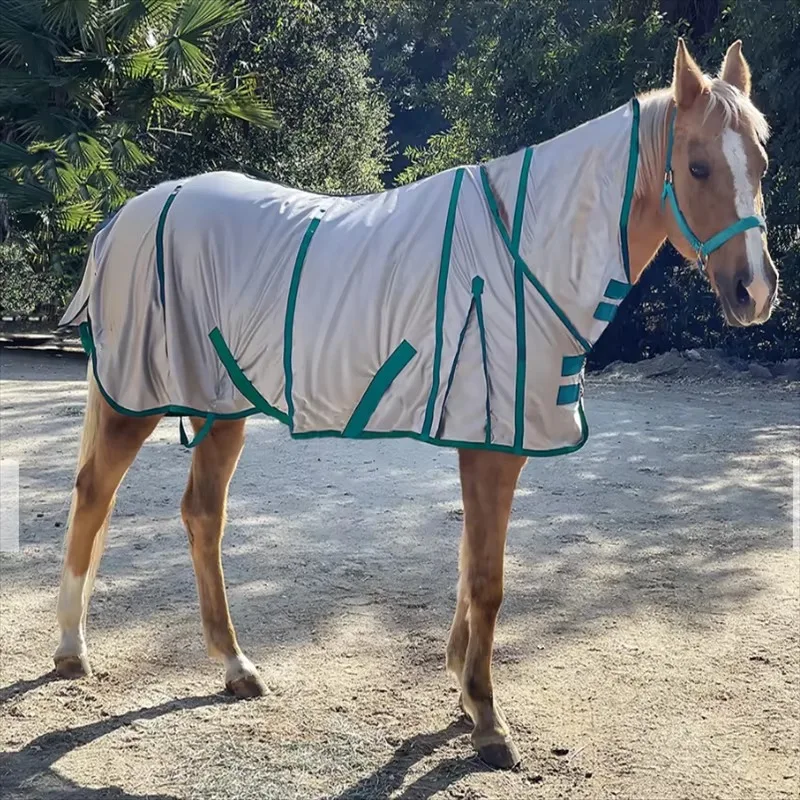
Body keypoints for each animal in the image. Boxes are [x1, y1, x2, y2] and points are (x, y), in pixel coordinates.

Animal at [52, 39, 778, 769]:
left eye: (763, 163)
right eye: (698, 165)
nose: (755, 292)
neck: (524, 249)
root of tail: (126, 215)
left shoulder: (491, 439)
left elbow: (467, 564)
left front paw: (461, 687)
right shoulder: (491, 445)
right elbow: (487, 578)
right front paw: (487, 718)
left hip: (220, 406)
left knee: (202, 516)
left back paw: (235, 666)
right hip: (137, 400)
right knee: (94, 496)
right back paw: (72, 652)